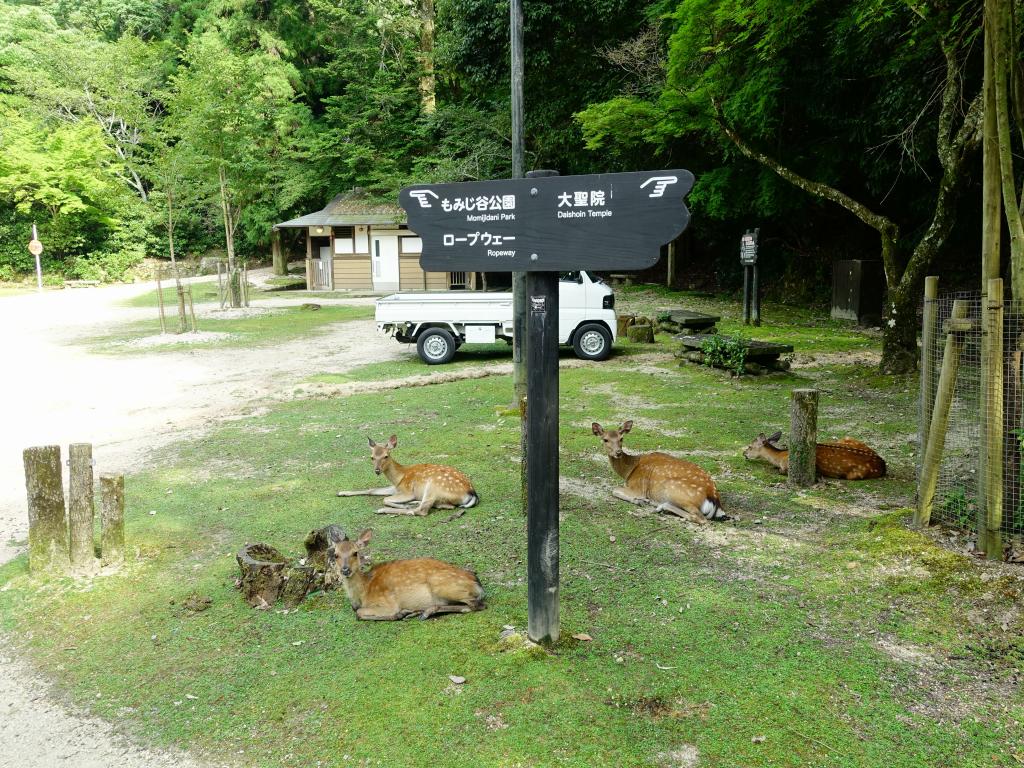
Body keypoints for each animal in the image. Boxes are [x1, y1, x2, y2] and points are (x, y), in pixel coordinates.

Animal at [335, 434, 479, 524]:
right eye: (372, 457)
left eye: (386, 456)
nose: (377, 470)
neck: (399, 477)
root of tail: (471, 493)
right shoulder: (396, 488)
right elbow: (372, 490)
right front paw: (341, 492)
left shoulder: (407, 491)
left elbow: (385, 499)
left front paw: (401, 504)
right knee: (444, 506)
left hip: (433, 486)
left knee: (422, 510)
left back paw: (384, 510)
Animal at [589, 417, 724, 528]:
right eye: (605, 440)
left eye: (621, 438)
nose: (618, 452)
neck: (628, 471)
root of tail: (713, 497)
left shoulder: (639, 488)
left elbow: (614, 490)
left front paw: (640, 501)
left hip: (675, 490)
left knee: (699, 517)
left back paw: (659, 506)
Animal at [745, 434, 888, 481]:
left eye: (750, 446)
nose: (744, 453)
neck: (780, 457)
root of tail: (883, 464)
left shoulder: (787, 466)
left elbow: (780, 471)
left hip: (855, 474)